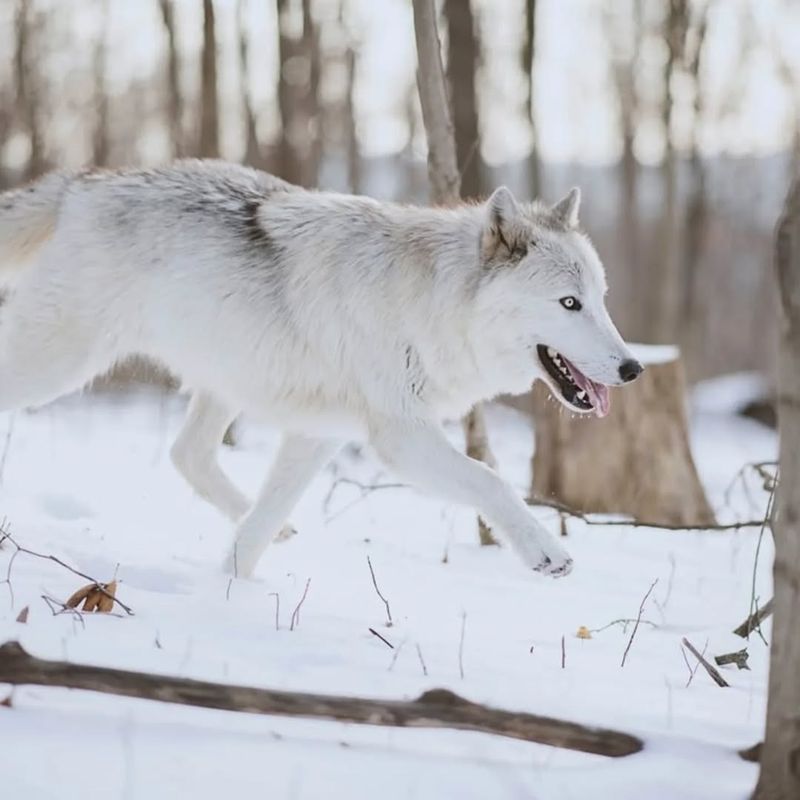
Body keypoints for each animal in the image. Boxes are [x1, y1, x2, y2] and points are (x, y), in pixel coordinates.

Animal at [0, 159, 640, 580]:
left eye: (602, 299)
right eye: (569, 304)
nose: (633, 368)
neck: (429, 304)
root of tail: (84, 183)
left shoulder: (319, 433)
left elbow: (257, 531)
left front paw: (228, 593)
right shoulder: (400, 438)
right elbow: (491, 479)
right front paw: (545, 551)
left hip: (224, 382)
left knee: (188, 455)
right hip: (60, 360)